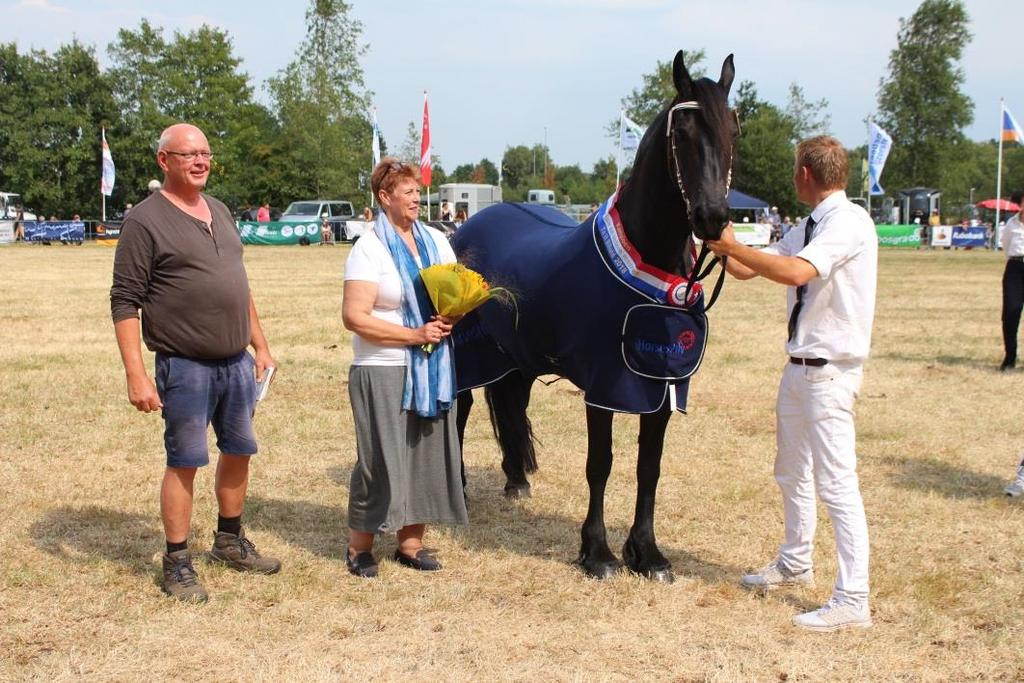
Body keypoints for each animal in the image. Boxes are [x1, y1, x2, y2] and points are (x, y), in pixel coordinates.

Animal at [454, 50, 737, 581]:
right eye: (683, 132)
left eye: (733, 128)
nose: (712, 217)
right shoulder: (605, 386)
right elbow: (600, 464)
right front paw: (598, 553)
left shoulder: (660, 384)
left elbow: (649, 466)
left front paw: (647, 554)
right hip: (463, 352)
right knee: (457, 413)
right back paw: (456, 486)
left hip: (518, 359)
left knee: (511, 406)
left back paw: (516, 481)